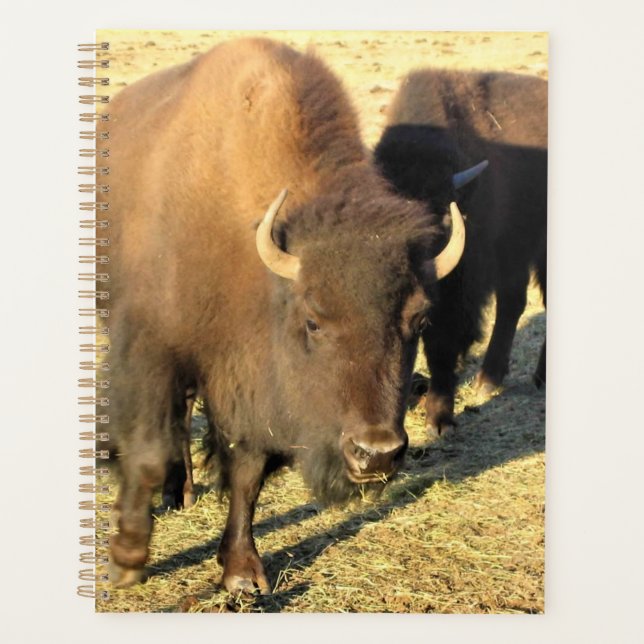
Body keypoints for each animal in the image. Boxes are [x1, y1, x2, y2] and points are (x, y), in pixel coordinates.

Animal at [99, 38, 465, 594]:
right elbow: (145, 453)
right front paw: (126, 561)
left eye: (419, 321)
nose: (376, 453)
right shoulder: (150, 349)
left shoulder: (245, 383)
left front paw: (242, 572)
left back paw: (183, 492)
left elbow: (247, 473)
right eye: (313, 320)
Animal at [374, 69, 547, 437]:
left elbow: (441, 344)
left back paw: (538, 377)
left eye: (441, 212)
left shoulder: (455, 295)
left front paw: (439, 421)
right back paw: (488, 379)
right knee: (512, 304)